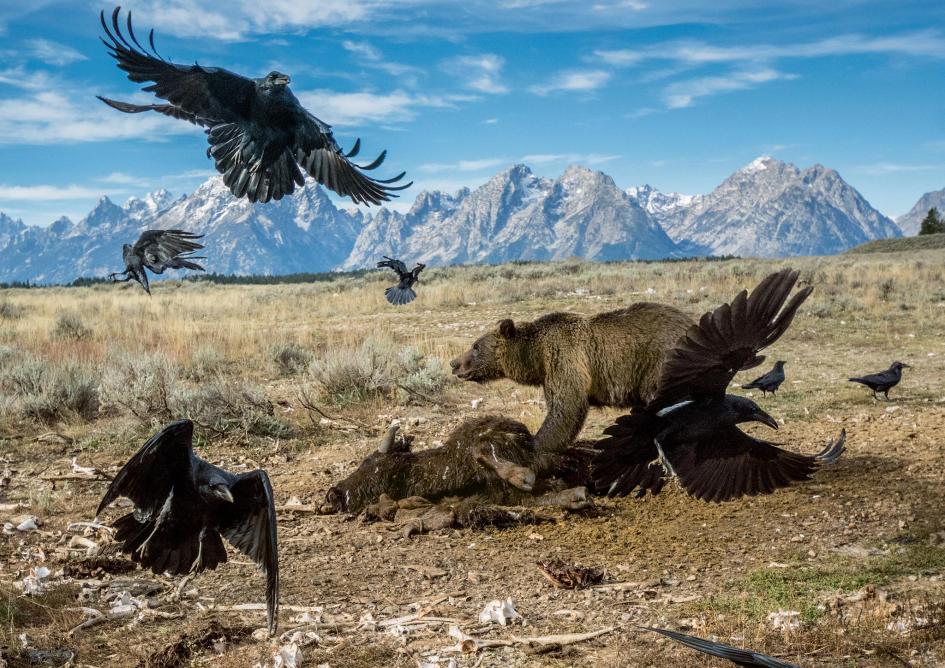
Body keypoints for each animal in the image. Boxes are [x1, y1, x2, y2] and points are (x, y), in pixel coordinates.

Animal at [449, 303, 694, 471]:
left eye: (476, 346)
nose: (454, 363)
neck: (535, 356)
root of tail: (690, 322)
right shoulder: (549, 372)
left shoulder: (563, 358)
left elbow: (567, 406)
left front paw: (533, 445)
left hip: (660, 362)